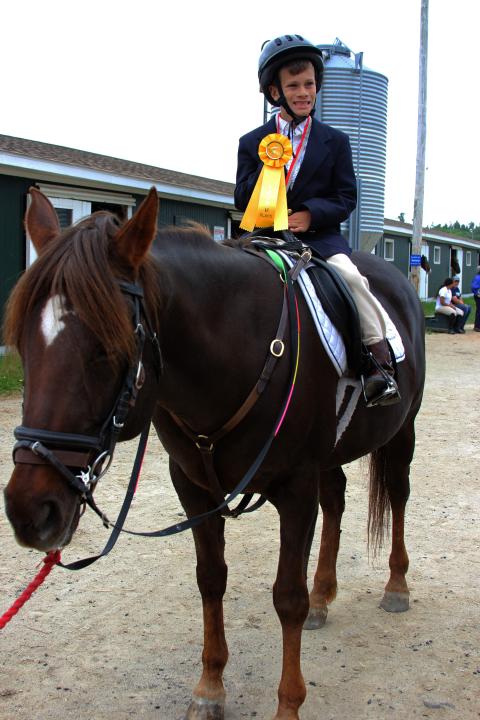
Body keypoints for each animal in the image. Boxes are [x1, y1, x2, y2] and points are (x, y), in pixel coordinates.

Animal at [2, 188, 424, 716]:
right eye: (24, 344)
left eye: (106, 348)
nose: (29, 511)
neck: (241, 346)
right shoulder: (194, 488)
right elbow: (211, 579)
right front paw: (209, 687)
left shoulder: (295, 488)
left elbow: (287, 597)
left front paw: (288, 704)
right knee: (337, 500)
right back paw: (325, 594)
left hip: (402, 432)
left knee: (398, 494)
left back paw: (396, 586)